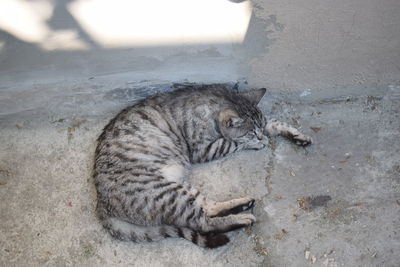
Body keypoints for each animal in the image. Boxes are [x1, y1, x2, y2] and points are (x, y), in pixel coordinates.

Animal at [94, 85, 312, 249]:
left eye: (256, 129)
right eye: (250, 133)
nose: (258, 137)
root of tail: (101, 202)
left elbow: (273, 123)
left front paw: (296, 135)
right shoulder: (203, 150)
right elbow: (232, 142)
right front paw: (258, 142)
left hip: (180, 188)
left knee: (208, 207)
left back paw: (242, 204)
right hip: (166, 193)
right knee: (203, 223)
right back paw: (242, 218)